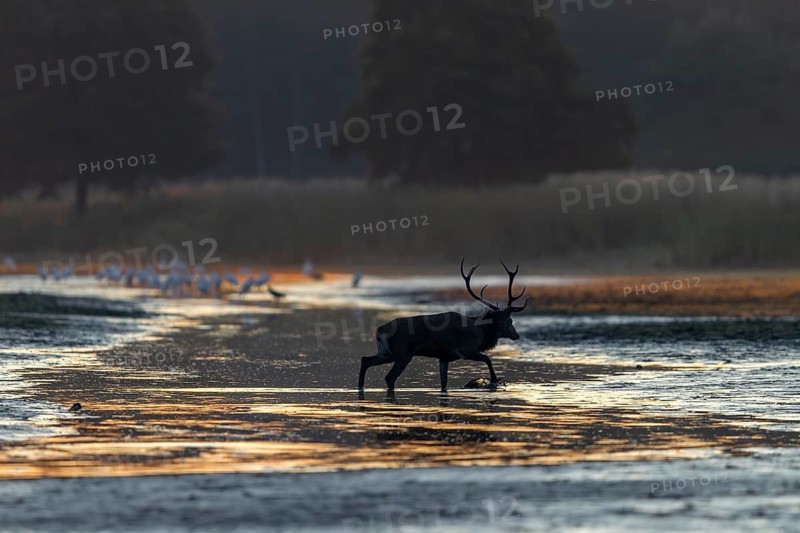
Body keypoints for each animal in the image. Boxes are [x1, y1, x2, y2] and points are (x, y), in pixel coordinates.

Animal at [357, 258, 529, 391]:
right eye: (510, 320)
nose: (516, 335)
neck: (481, 332)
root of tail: (379, 331)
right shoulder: (466, 350)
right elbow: (488, 359)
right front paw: (494, 381)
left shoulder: (444, 357)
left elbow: (444, 383)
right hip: (402, 354)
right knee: (389, 378)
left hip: (386, 353)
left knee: (365, 360)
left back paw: (360, 387)